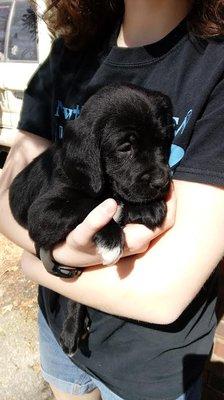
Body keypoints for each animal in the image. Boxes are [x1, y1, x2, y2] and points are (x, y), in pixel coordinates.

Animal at [9, 83, 173, 354]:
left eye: (163, 142)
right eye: (125, 147)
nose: (162, 182)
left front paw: (147, 207)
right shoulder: (41, 213)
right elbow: (90, 204)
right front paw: (112, 238)